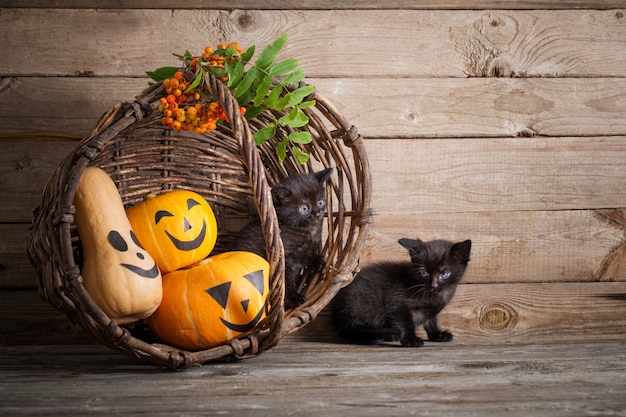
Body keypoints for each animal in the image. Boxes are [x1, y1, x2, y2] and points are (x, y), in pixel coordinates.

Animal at [233, 167, 332, 308]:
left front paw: (317, 262)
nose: (318, 214)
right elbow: (285, 281)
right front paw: (293, 298)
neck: (304, 231)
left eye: (320, 202)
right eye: (304, 208)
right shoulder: (285, 260)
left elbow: (310, 253)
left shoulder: (310, 245)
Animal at [332, 236, 468, 346]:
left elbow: (431, 320)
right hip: (359, 304)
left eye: (444, 274)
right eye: (424, 273)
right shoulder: (397, 302)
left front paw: (437, 334)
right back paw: (385, 335)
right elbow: (405, 322)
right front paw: (410, 339)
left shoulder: (430, 309)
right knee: (352, 330)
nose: (433, 285)